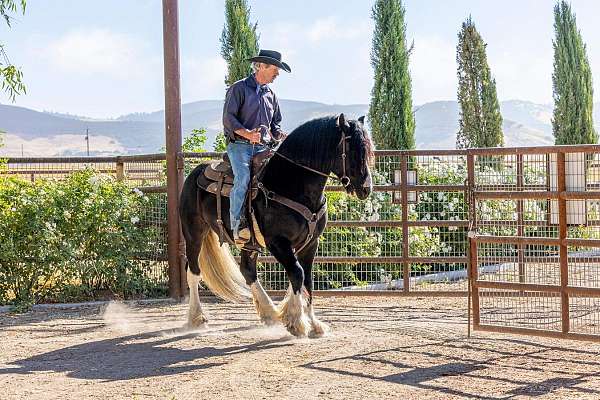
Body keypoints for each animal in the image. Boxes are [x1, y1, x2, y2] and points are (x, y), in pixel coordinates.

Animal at [180, 113, 372, 338]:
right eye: (352, 149)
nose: (366, 188)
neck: (289, 184)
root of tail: (196, 171)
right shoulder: (278, 243)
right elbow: (297, 273)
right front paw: (297, 322)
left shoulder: (311, 243)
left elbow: (308, 280)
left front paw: (314, 324)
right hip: (194, 233)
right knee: (193, 272)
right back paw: (197, 318)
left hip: (249, 244)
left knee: (248, 271)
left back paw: (270, 313)